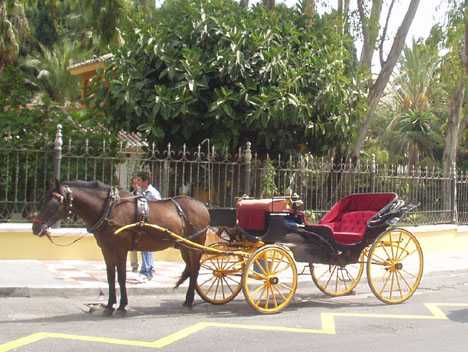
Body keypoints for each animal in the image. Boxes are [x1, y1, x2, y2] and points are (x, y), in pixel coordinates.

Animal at [31, 179, 210, 316]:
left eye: (54, 203)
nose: (35, 227)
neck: (109, 209)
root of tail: (202, 206)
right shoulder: (107, 249)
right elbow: (111, 277)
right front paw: (110, 305)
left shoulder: (121, 249)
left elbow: (121, 277)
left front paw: (122, 305)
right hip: (185, 246)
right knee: (191, 268)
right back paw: (187, 300)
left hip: (196, 245)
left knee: (195, 269)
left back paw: (189, 301)